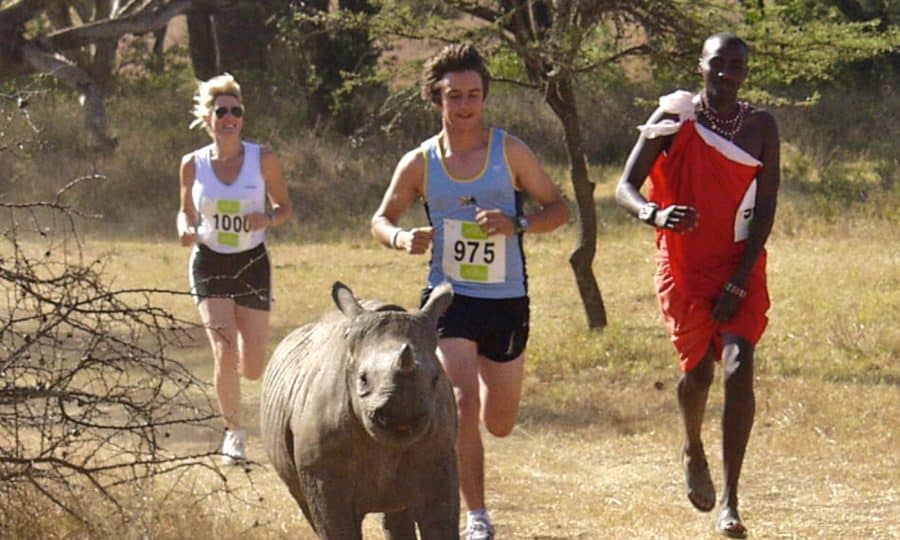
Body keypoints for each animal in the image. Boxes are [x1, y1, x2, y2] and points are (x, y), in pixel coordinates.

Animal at [260, 282, 459, 539]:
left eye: (436, 379)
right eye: (362, 379)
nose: (402, 419)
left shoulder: (437, 455)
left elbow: (440, 521)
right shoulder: (322, 470)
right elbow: (335, 526)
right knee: (304, 502)